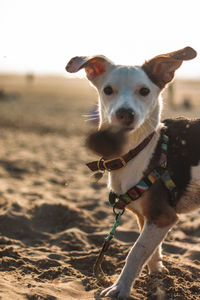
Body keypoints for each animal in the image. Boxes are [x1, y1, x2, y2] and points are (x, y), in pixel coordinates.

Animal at [66, 47, 198, 298]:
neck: (137, 151)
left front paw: (120, 287)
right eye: (108, 90)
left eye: (144, 91)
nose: (125, 114)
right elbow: (151, 251)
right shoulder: (146, 217)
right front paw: (157, 275)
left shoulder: (162, 215)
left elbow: (136, 252)